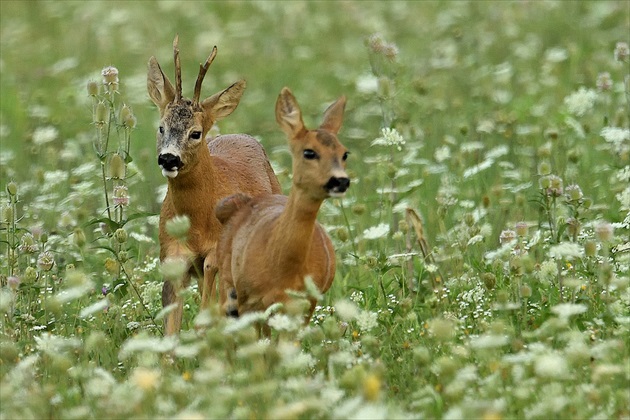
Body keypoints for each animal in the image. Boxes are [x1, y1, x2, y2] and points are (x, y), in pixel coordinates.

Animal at [148, 37, 282, 336]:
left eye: (195, 133)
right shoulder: (172, 256)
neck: (198, 224)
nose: (168, 158)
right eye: (161, 127)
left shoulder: (216, 251)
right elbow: (171, 327)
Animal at [216, 87, 350, 324]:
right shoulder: (249, 299)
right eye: (309, 152)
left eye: (345, 153)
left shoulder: (306, 303)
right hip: (228, 285)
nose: (341, 181)